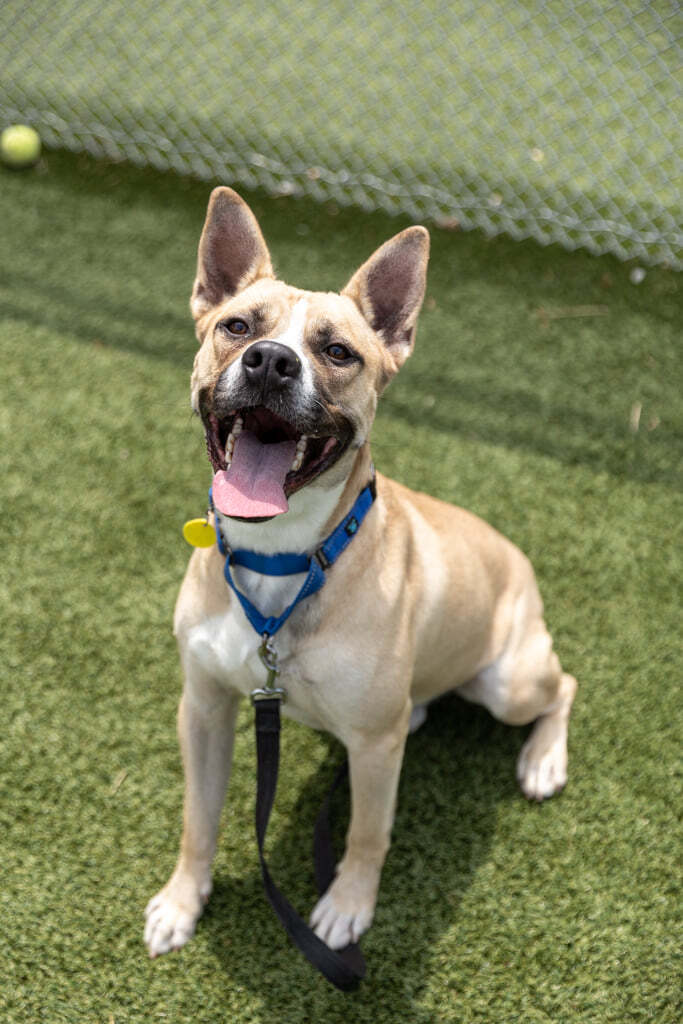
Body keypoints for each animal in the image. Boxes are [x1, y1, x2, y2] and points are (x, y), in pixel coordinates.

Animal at [143, 186, 577, 958]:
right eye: (236, 326)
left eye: (338, 351)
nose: (269, 362)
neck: (282, 556)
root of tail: (518, 558)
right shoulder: (203, 707)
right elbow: (199, 820)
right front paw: (181, 902)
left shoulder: (374, 748)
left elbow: (367, 836)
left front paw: (346, 909)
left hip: (508, 681)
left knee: (566, 687)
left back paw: (542, 760)